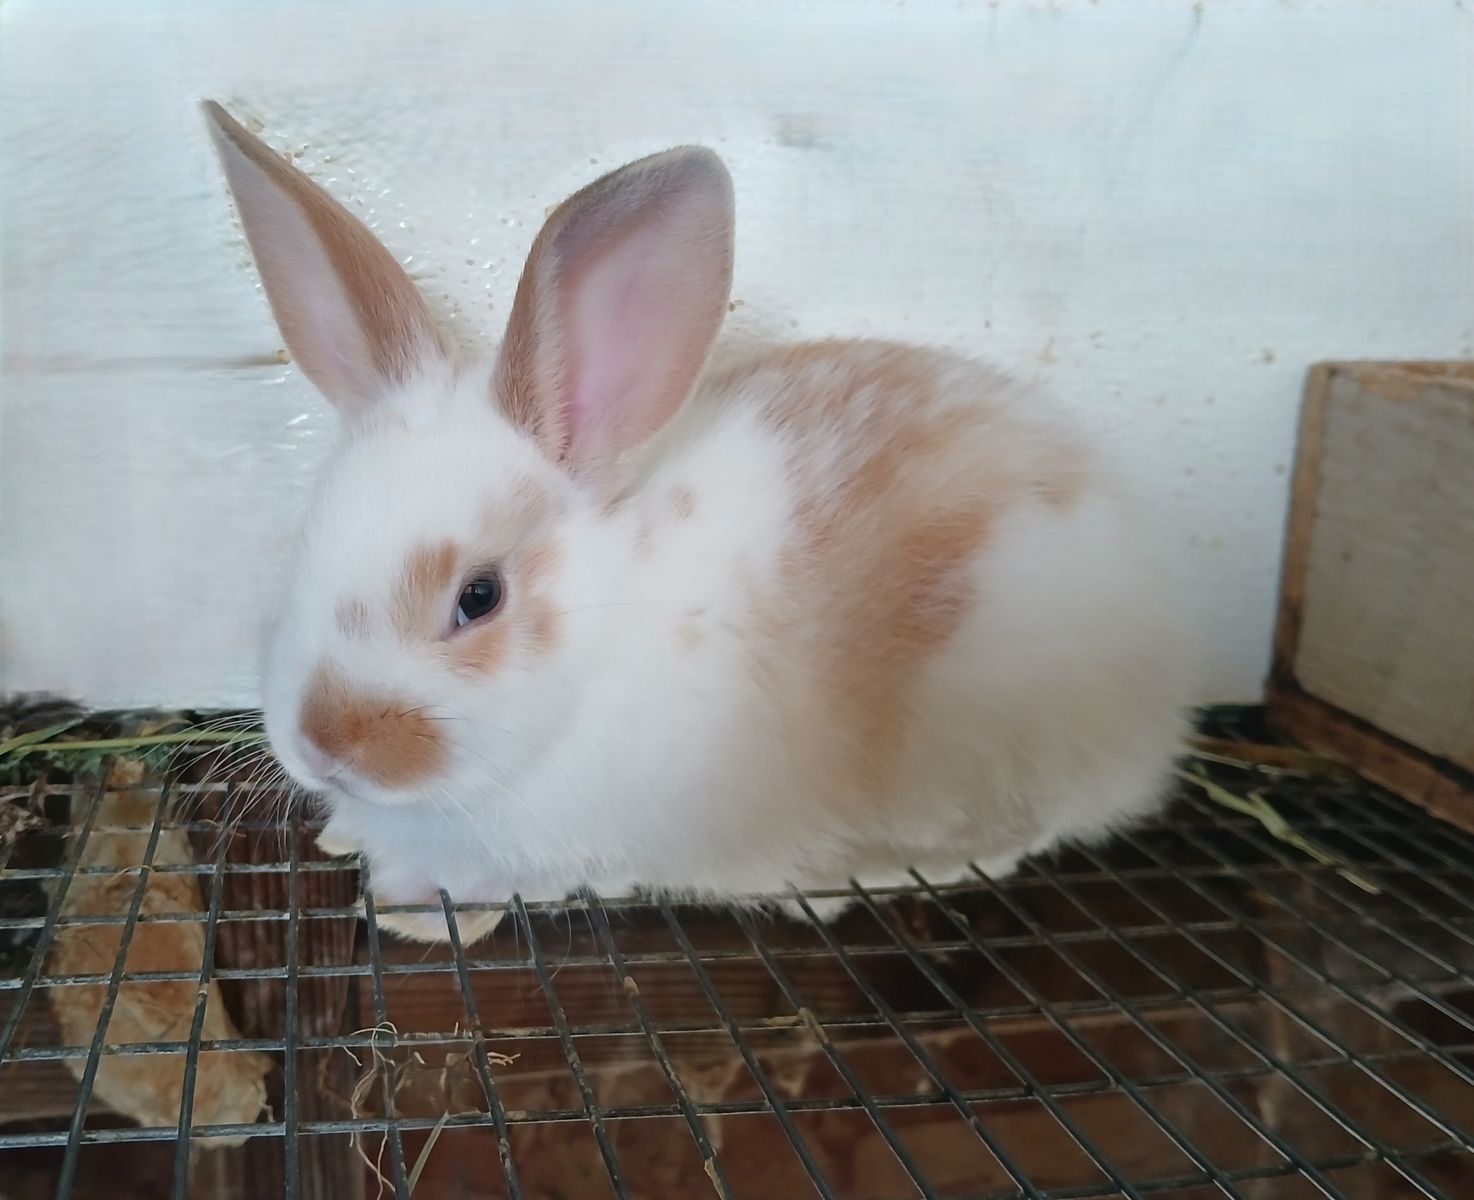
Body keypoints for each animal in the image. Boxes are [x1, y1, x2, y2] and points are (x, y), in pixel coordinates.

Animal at [203, 101, 1196, 943]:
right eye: (301, 547)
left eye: (478, 598)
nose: (324, 745)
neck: (606, 629)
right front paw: (344, 840)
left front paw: (417, 908)